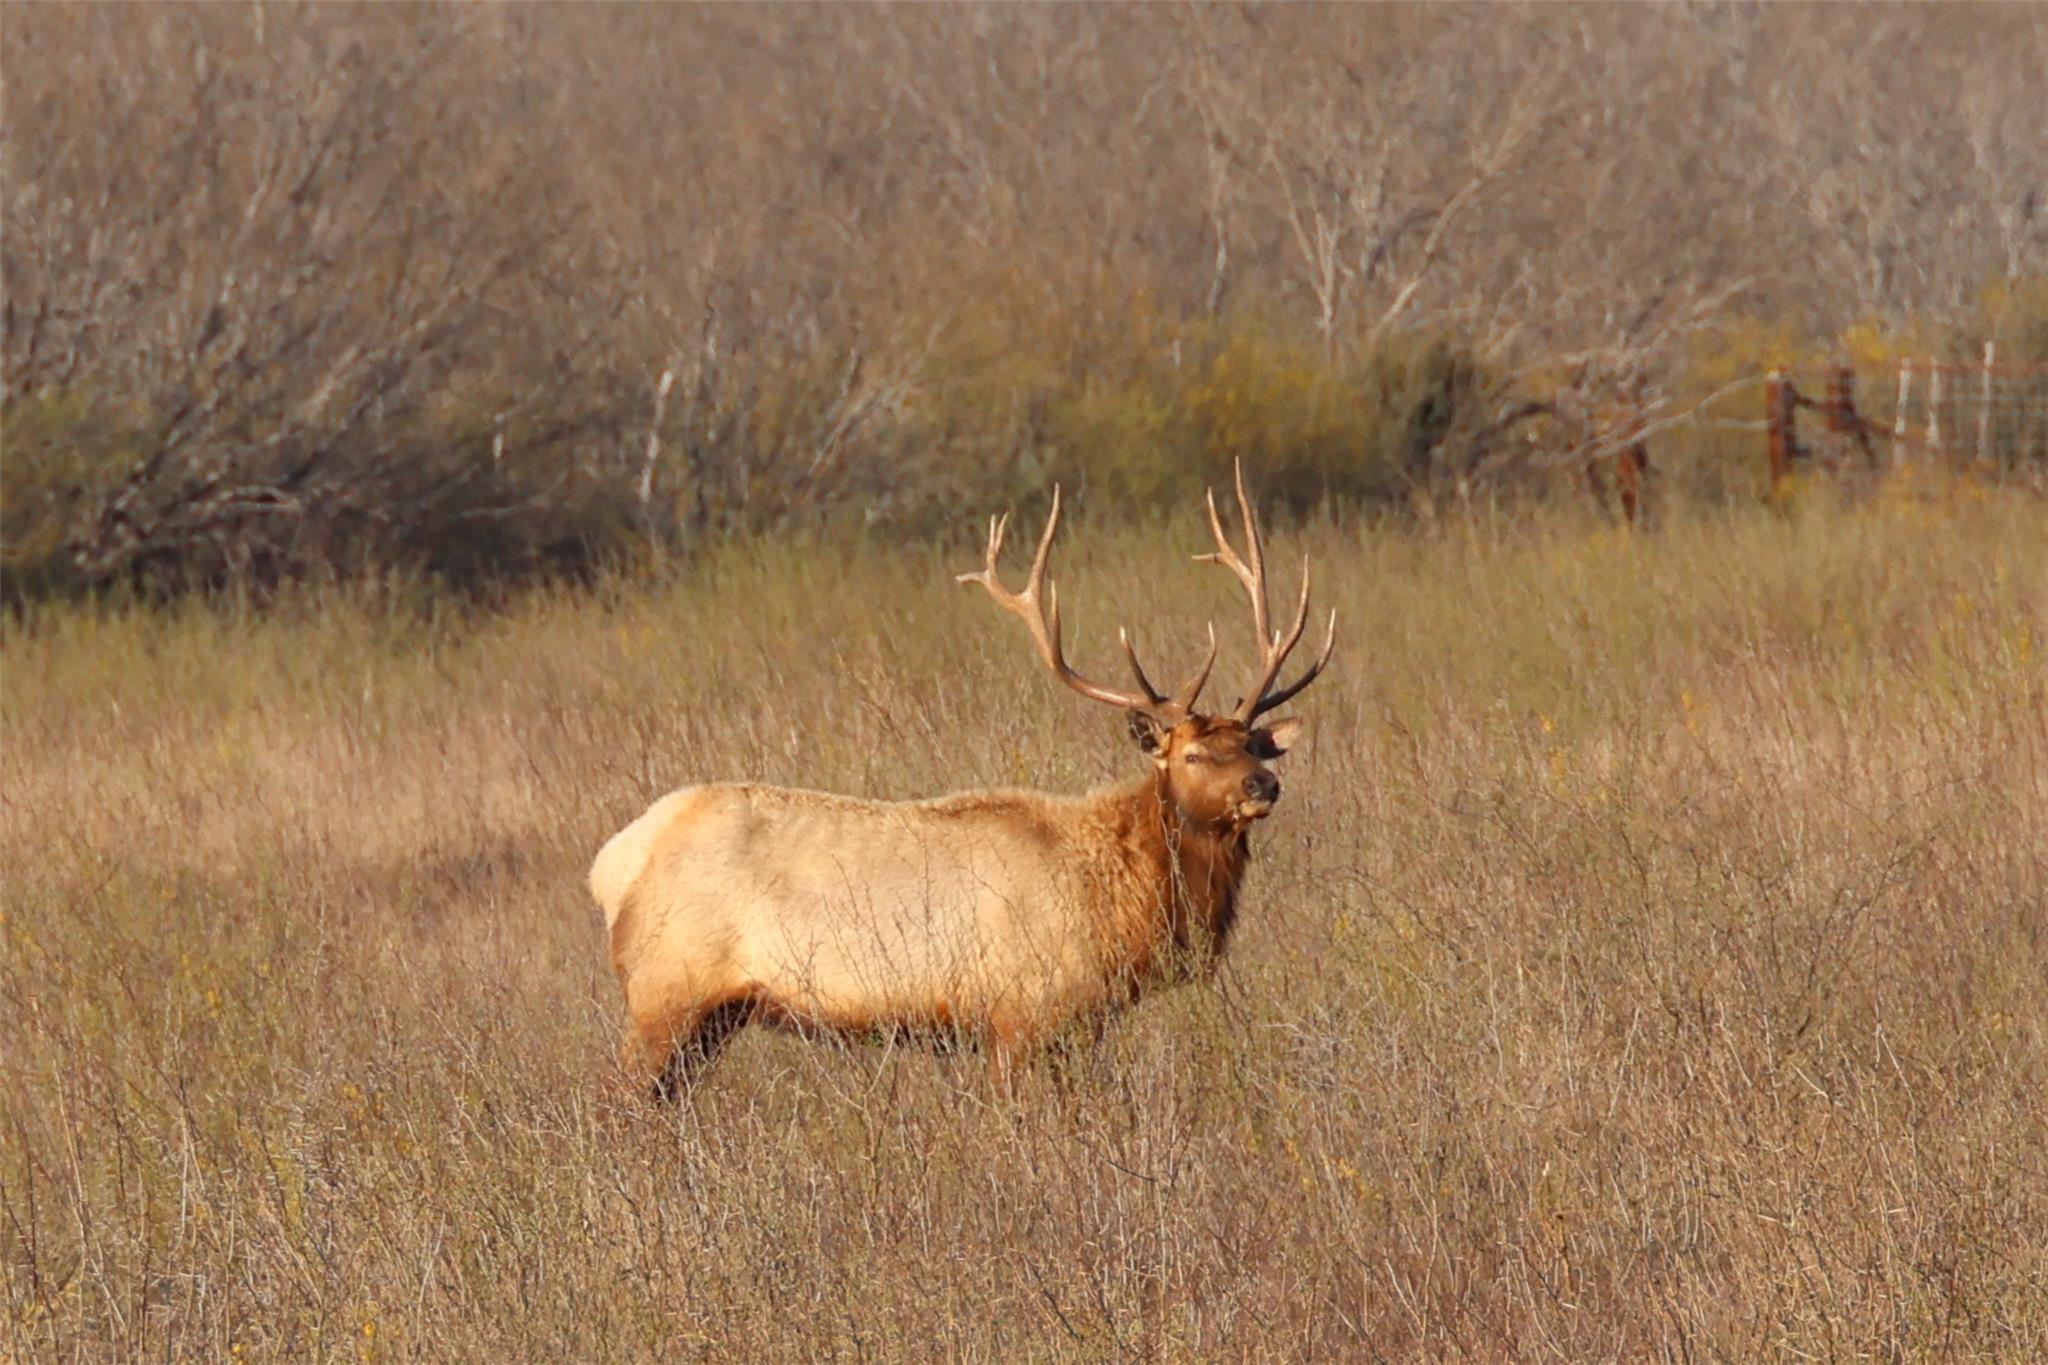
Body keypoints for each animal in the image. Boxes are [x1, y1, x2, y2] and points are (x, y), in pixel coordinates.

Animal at [590, 462, 1335, 1100]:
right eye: (1192, 755)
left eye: (1253, 745)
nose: (1263, 787)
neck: (1120, 903)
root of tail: (611, 865)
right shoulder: (1019, 1010)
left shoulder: (1076, 1025)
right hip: (664, 988)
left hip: (714, 1013)